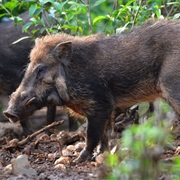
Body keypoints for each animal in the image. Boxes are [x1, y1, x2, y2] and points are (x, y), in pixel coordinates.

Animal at [3, 19, 180, 162]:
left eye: (41, 69)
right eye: (29, 66)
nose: (8, 112)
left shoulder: (99, 106)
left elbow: (91, 136)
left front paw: (79, 160)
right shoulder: (107, 109)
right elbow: (104, 135)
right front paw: (101, 155)